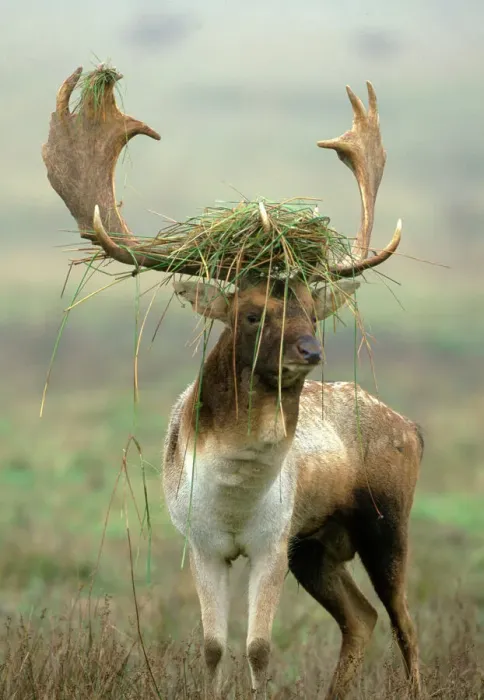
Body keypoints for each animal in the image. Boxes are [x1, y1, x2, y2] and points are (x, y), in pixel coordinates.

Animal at [43, 66, 423, 699]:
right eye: (250, 313)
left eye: (310, 310)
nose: (310, 351)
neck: (234, 501)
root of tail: (414, 428)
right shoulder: (202, 545)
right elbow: (214, 646)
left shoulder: (272, 542)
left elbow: (260, 648)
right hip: (318, 547)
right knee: (362, 617)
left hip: (385, 520)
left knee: (404, 622)